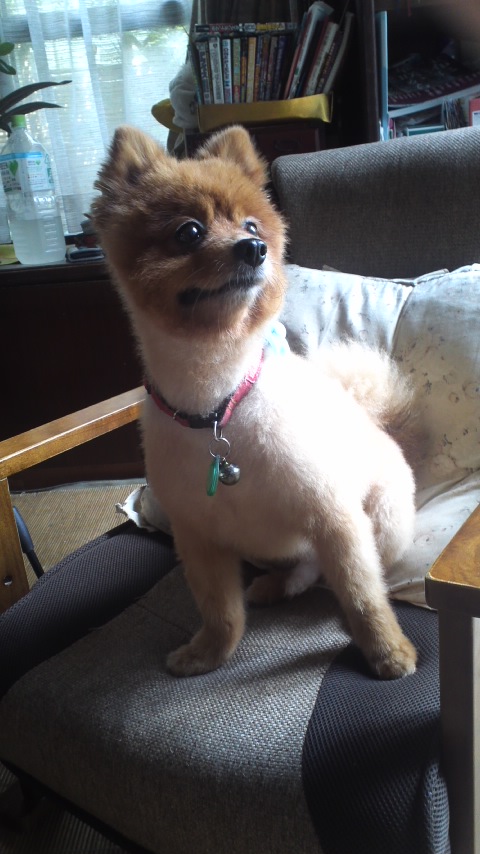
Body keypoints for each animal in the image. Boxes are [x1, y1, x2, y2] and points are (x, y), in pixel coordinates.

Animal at [91, 124, 417, 679]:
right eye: (189, 232)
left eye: (250, 224)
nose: (255, 248)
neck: (216, 408)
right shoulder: (198, 537)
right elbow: (220, 610)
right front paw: (208, 654)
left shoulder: (335, 516)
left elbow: (361, 593)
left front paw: (387, 651)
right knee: (305, 566)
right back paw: (277, 584)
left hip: (388, 520)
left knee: (339, 566)